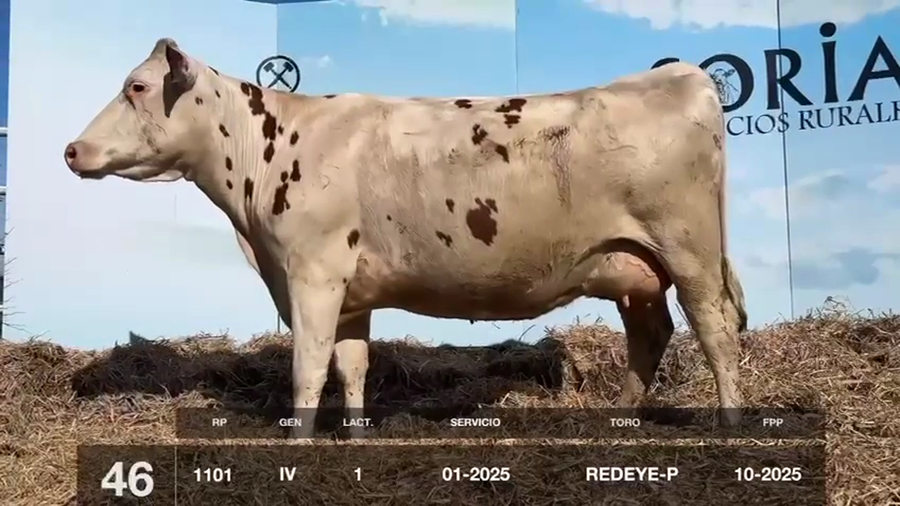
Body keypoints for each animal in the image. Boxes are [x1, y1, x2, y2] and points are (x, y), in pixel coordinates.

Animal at [64, 38, 748, 438]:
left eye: (138, 87)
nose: (71, 149)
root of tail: (682, 75)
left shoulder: (312, 272)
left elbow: (307, 368)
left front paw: (297, 444)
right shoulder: (351, 292)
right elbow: (352, 366)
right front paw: (356, 438)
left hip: (688, 249)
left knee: (715, 331)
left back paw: (731, 424)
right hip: (634, 267)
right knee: (651, 333)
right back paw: (619, 417)